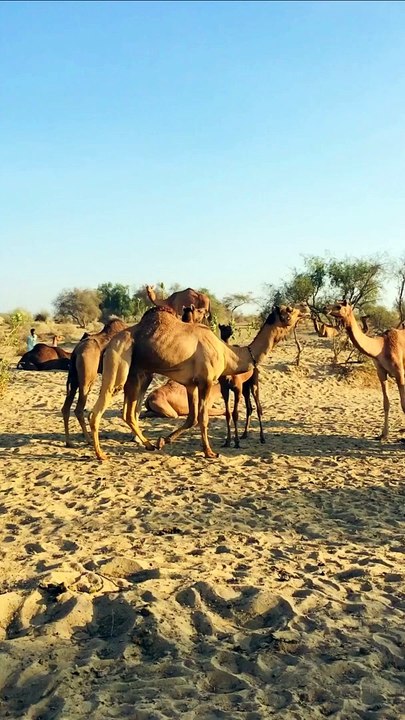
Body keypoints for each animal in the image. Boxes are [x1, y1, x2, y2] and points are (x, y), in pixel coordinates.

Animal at [61, 318, 126, 447]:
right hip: (87, 379)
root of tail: (76, 351)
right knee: (78, 409)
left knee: (66, 407)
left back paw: (69, 442)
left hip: (74, 379)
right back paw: (89, 440)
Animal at [89, 304, 304, 461]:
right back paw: (101, 454)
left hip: (138, 374)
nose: (304, 310)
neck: (228, 354)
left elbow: (192, 418)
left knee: (128, 413)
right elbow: (203, 418)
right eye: (289, 310)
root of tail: (111, 343)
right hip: (119, 361)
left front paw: (163, 441)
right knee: (99, 410)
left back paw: (149, 444)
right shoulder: (206, 381)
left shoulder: (191, 384)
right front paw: (210, 452)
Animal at [329, 300, 405, 441]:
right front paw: (383, 435)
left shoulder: (399, 373)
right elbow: (386, 403)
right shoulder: (381, 372)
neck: (381, 347)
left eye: (339, 306)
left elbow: (403, 404)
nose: (325, 308)